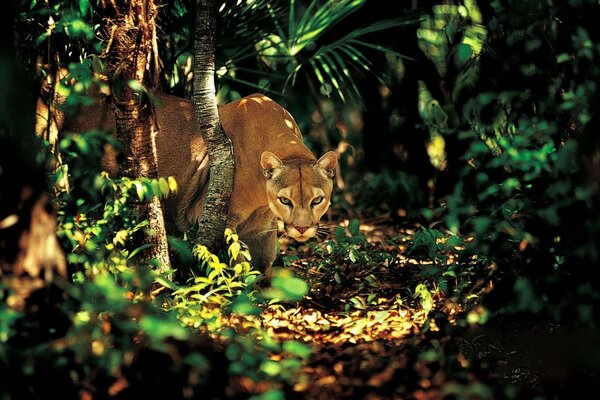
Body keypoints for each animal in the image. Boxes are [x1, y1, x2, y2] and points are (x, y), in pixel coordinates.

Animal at [37, 92, 338, 276]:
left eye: (317, 200)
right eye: (285, 200)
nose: (302, 229)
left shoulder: (262, 230)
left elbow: (264, 269)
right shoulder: (219, 218)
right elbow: (238, 265)